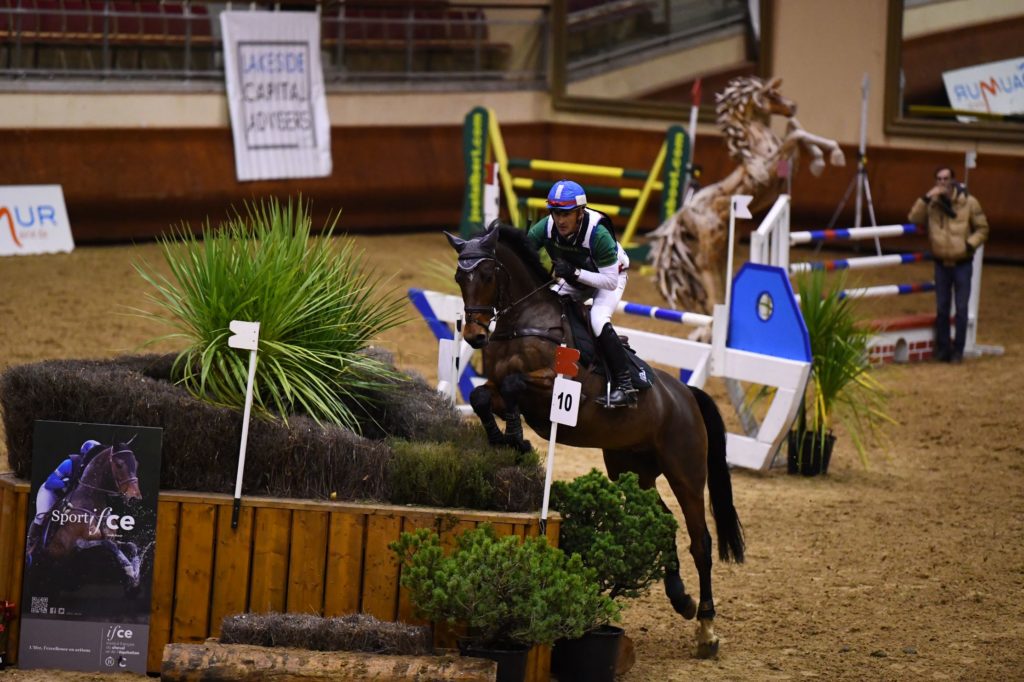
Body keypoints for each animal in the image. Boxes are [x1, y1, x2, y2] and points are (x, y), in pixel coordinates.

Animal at [33, 444, 146, 585]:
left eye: (136, 464)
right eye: (119, 465)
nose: (134, 498)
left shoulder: (112, 537)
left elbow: (131, 545)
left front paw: (135, 574)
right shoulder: (77, 543)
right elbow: (109, 544)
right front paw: (129, 569)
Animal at [444, 220, 749, 655]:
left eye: (486, 275)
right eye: (459, 276)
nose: (473, 336)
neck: (526, 319)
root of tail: (687, 395)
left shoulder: (556, 389)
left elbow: (516, 385)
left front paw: (517, 437)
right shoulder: (500, 387)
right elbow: (482, 395)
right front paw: (508, 441)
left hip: (685, 472)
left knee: (701, 540)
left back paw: (706, 628)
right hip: (630, 469)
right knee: (662, 519)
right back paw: (680, 597)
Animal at [651, 75, 843, 315]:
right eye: (772, 94)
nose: (792, 106)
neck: (757, 147)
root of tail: (683, 213)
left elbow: (796, 130)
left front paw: (825, 158)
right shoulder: (772, 169)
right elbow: (796, 135)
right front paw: (830, 158)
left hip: (728, 236)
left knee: (716, 264)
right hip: (712, 235)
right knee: (703, 263)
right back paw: (714, 310)